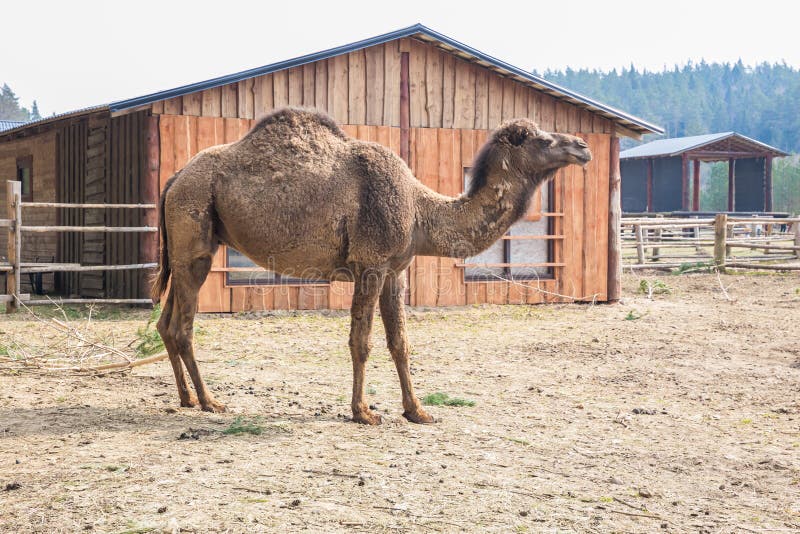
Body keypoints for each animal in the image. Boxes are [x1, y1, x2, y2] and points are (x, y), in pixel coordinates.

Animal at [150, 108, 592, 428]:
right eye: (543, 139)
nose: (583, 146)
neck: (419, 211)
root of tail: (173, 180)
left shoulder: (395, 270)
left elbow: (400, 342)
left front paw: (417, 411)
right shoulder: (370, 265)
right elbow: (360, 341)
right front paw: (363, 412)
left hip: (186, 249)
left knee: (165, 322)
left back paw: (186, 398)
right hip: (196, 239)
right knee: (183, 325)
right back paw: (210, 401)